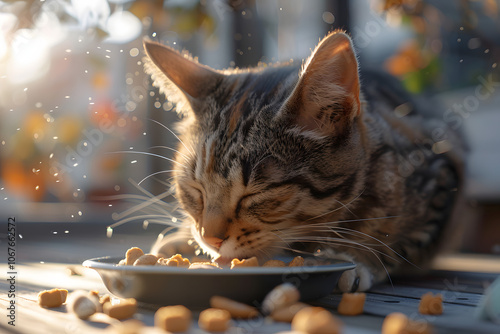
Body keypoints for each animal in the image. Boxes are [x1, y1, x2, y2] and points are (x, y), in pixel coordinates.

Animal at [143, 32, 462, 292]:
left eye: (257, 194)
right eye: (194, 190)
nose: (210, 239)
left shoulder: (442, 171)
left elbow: (390, 239)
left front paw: (355, 255)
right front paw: (181, 238)